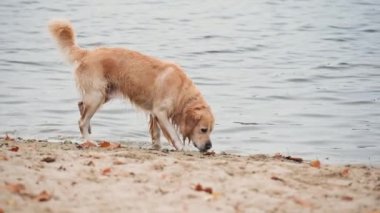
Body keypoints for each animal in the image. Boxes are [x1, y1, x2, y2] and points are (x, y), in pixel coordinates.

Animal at [48, 18, 214, 151]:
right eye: (203, 129)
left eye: (211, 130)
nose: (209, 146)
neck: (180, 91)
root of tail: (87, 53)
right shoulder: (160, 111)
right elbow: (173, 134)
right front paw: (181, 147)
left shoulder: (154, 113)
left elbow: (156, 133)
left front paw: (156, 147)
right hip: (97, 95)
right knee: (81, 121)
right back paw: (90, 141)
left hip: (104, 94)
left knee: (81, 105)